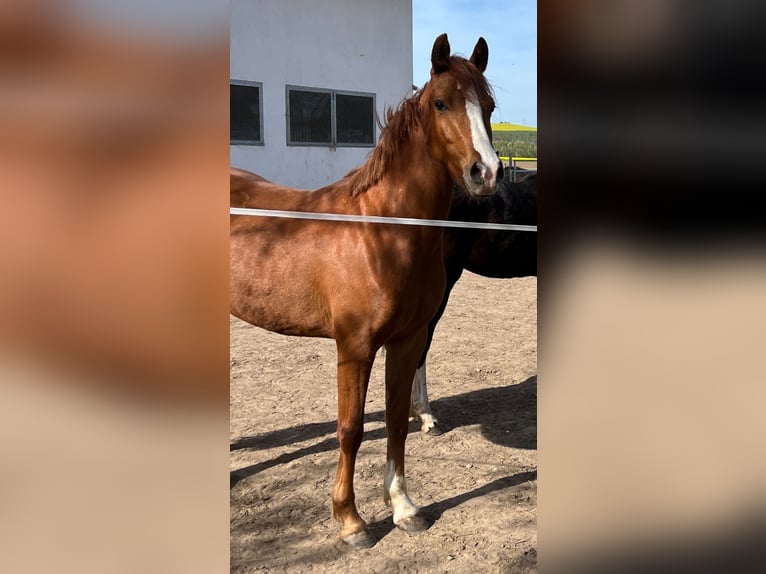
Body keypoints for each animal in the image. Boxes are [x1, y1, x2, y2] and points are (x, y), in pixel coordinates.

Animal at [230, 35, 504, 548]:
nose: (487, 174)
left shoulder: (407, 341)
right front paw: (350, 520)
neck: (382, 232)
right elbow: (351, 428)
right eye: (441, 103)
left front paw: (403, 507)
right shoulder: (354, 347)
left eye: (491, 107)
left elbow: (396, 417)